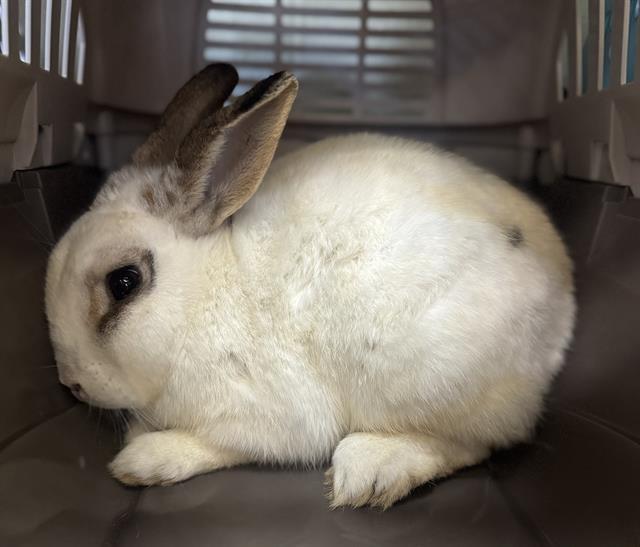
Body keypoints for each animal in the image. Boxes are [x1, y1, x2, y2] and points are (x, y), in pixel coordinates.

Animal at [45, 63, 575, 509]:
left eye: (124, 282)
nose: (71, 384)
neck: (204, 293)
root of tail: (564, 305)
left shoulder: (268, 418)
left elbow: (218, 443)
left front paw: (141, 458)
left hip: (424, 379)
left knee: (476, 443)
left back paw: (370, 473)